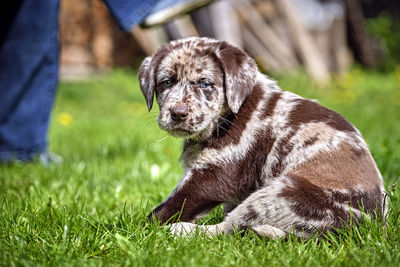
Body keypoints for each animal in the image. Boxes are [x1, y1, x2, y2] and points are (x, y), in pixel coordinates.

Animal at [139, 37, 386, 239]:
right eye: (166, 82)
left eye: (205, 84)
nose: (178, 113)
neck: (229, 114)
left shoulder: (212, 176)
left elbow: (166, 209)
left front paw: (136, 231)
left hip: (282, 193)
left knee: (229, 228)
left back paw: (182, 231)